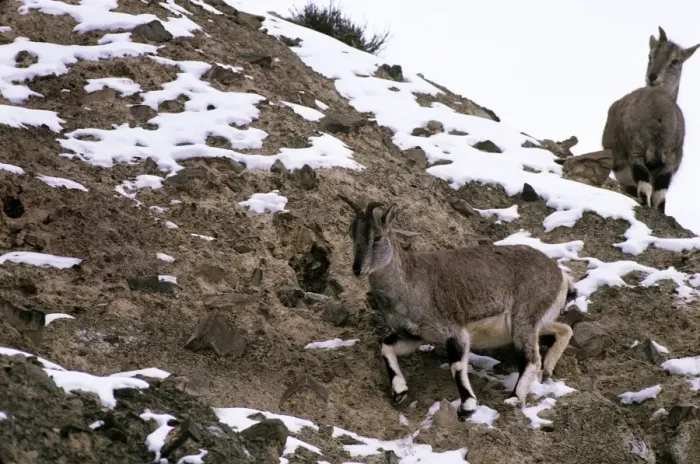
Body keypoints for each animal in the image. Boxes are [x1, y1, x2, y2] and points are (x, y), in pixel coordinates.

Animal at [338, 195, 574, 420]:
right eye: (352, 235)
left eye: (377, 237)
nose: (357, 269)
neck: (410, 283)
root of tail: (560, 275)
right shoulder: (415, 335)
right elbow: (386, 347)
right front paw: (400, 391)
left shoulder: (454, 330)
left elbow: (457, 366)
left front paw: (467, 405)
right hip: (535, 321)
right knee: (564, 329)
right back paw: (548, 368)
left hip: (524, 318)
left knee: (531, 359)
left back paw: (515, 397)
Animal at [602, 26, 699, 213]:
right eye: (650, 56)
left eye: (675, 61)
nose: (652, 77)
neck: (656, 126)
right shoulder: (636, 153)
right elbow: (644, 187)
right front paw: (646, 206)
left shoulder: (669, 161)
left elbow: (660, 194)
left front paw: (660, 212)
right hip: (621, 168)